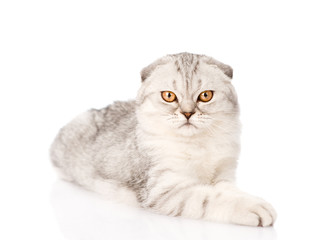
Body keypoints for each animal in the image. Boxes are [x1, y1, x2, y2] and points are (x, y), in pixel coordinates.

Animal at [50, 52, 276, 227]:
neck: (198, 145)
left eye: (205, 96)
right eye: (169, 96)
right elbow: (210, 198)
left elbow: (229, 191)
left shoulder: (224, 176)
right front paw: (255, 207)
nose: (187, 113)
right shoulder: (165, 191)